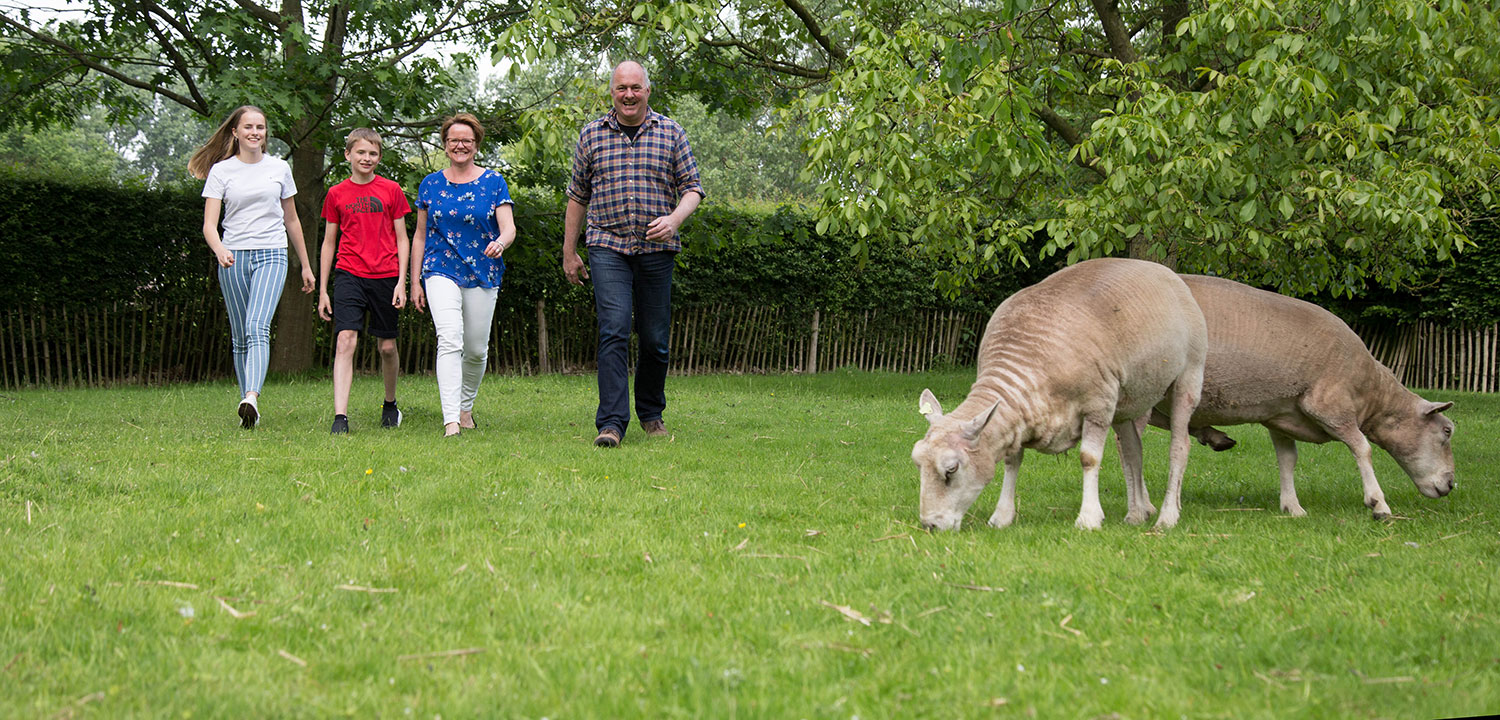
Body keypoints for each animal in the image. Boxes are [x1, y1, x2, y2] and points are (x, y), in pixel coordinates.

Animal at [912, 258, 1206, 528]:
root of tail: (1161, 269)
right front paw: (1002, 516)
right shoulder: (1019, 419)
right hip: (1124, 401)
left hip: (1188, 376)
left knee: (1179, 447)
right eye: (917, 462)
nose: (930, 525)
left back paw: (1167, 517)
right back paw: (1135, 514)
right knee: (1133, 450)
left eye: (951, 469)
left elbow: (1089, 459)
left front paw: (1088, 518)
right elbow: (1012, 460)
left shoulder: (1098, 405)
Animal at [1140, 274, 1458, 516]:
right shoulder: (1329, 406)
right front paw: (1378, 503)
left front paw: (1292, 507)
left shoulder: (1280, 416)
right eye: (1447, 431)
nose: (1451, 484)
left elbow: (1287, 459)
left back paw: (1213, 437)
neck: (1372, 393)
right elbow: (1362, 448)